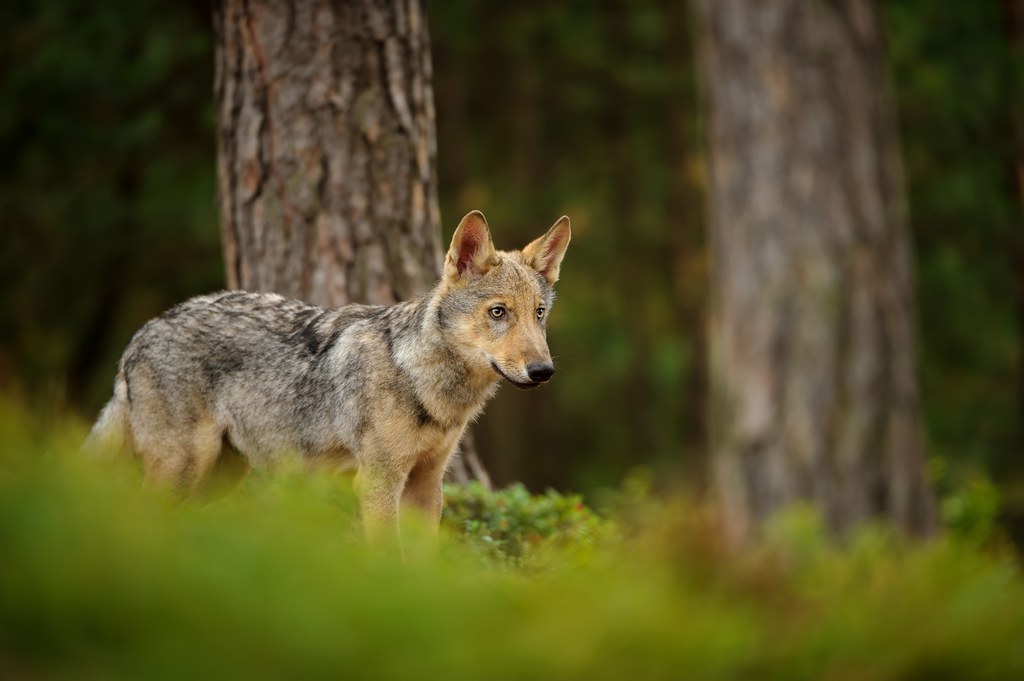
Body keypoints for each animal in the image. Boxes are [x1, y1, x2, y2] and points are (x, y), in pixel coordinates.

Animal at [87, 213, 569, 540]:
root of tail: (141, 334)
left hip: (217, 477)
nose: (543, 371)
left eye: (539, 314)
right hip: (183, 469)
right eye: (498, 312)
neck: (421, 379)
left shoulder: (426, 485)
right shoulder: (378, 481)